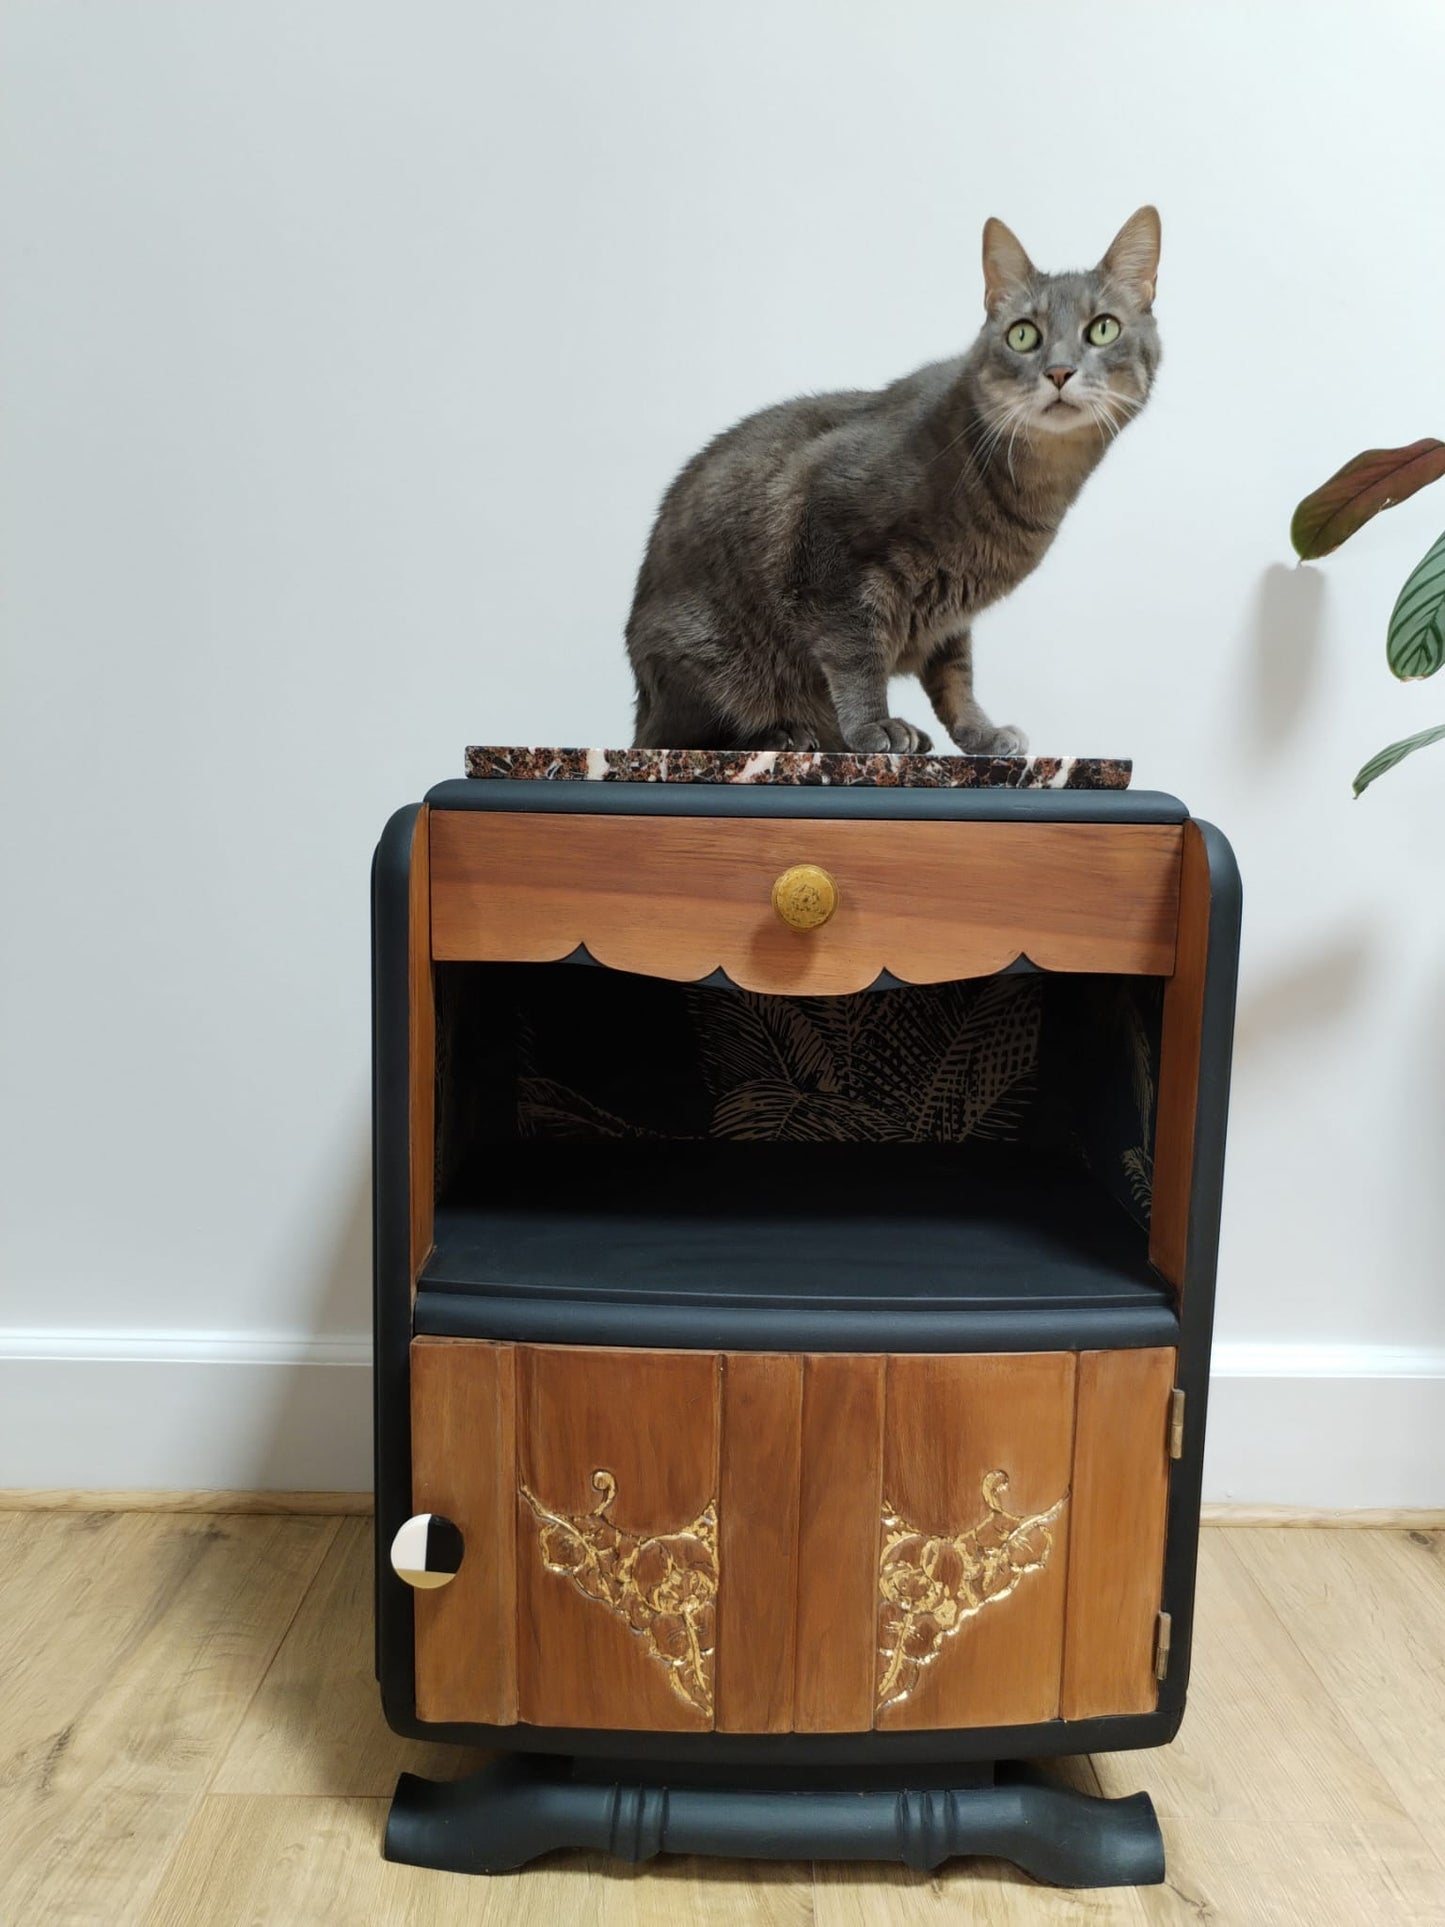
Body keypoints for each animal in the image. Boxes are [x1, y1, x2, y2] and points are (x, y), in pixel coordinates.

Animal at [628, 209, 1163, 751]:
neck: (1034, 486)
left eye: (1103, 329)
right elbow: (857, 656)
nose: (1059, 371)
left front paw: (981, 733)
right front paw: (874, 725)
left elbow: (956, 678)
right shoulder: (830, 550)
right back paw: (782, 733)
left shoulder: (952, 617)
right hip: (710, 659)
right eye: (1023, 335)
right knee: (684, 734)